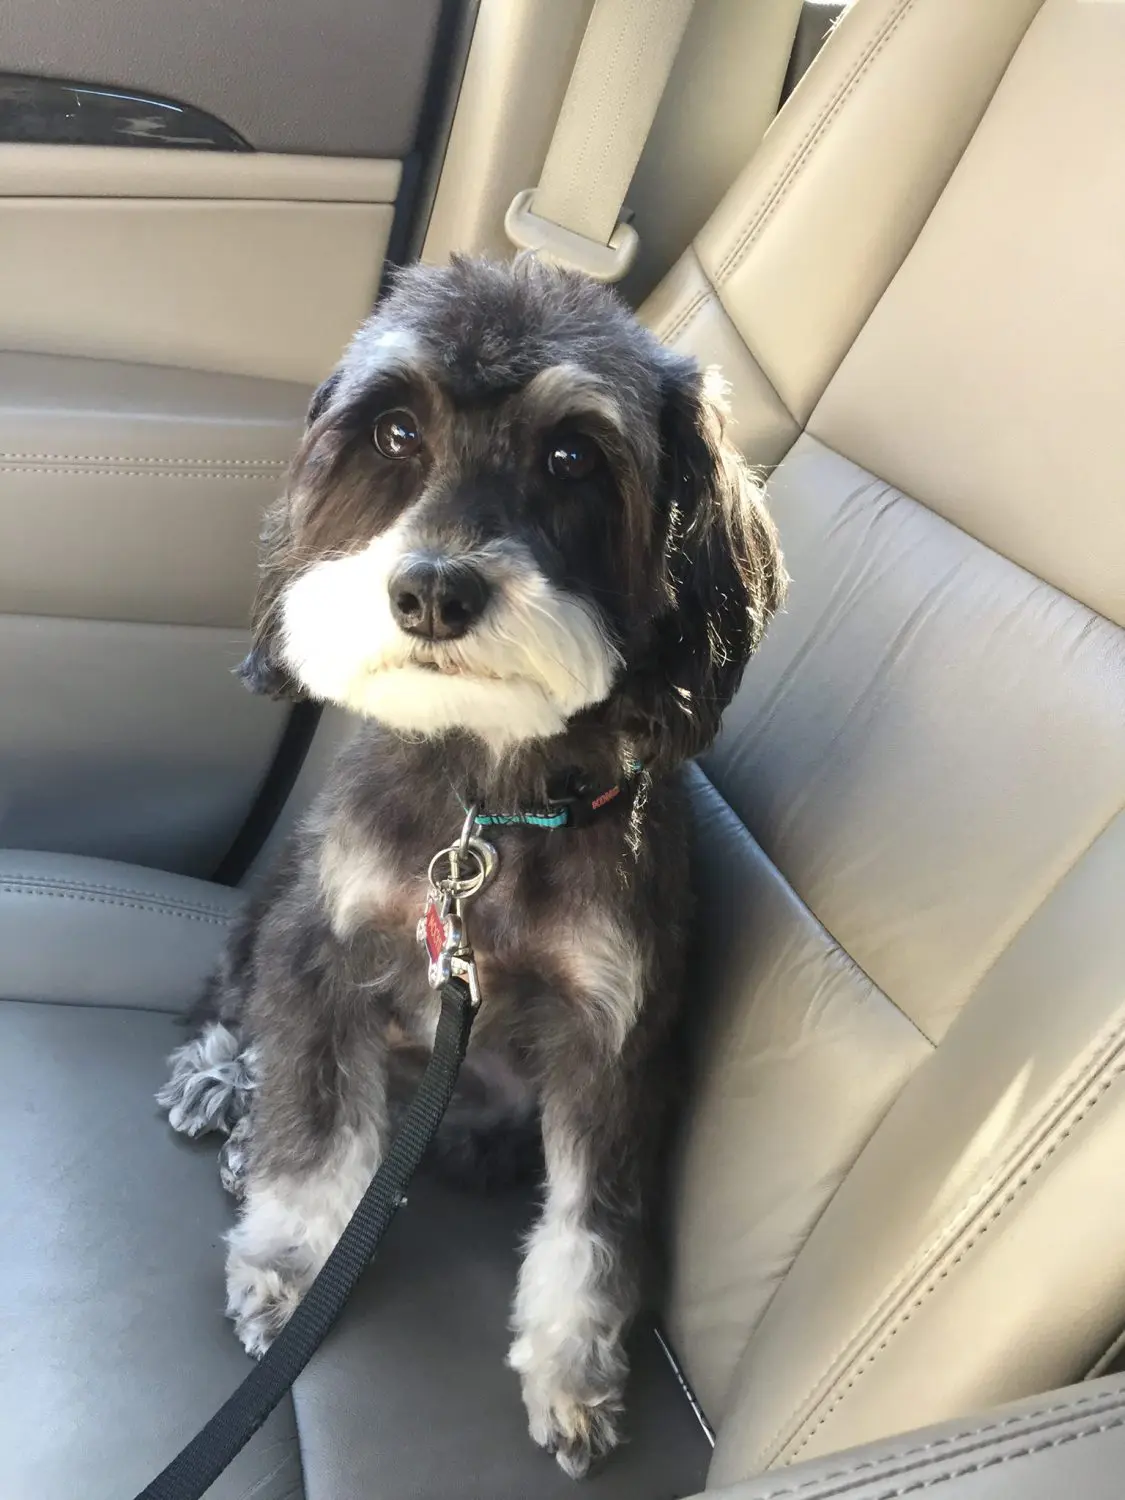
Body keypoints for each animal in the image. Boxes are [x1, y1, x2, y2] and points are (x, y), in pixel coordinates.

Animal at [160, 255, 786, 1476]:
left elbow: (592, 1227)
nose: (432, 591)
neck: (491, 811)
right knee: (238, 1009)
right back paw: (225, 1088)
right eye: (396, 431)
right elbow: (314, 1139)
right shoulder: (322, 949)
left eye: (573, 456)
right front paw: (289, 1266)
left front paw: (574, 1372)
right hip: (274, 909)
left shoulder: (616, 1041)